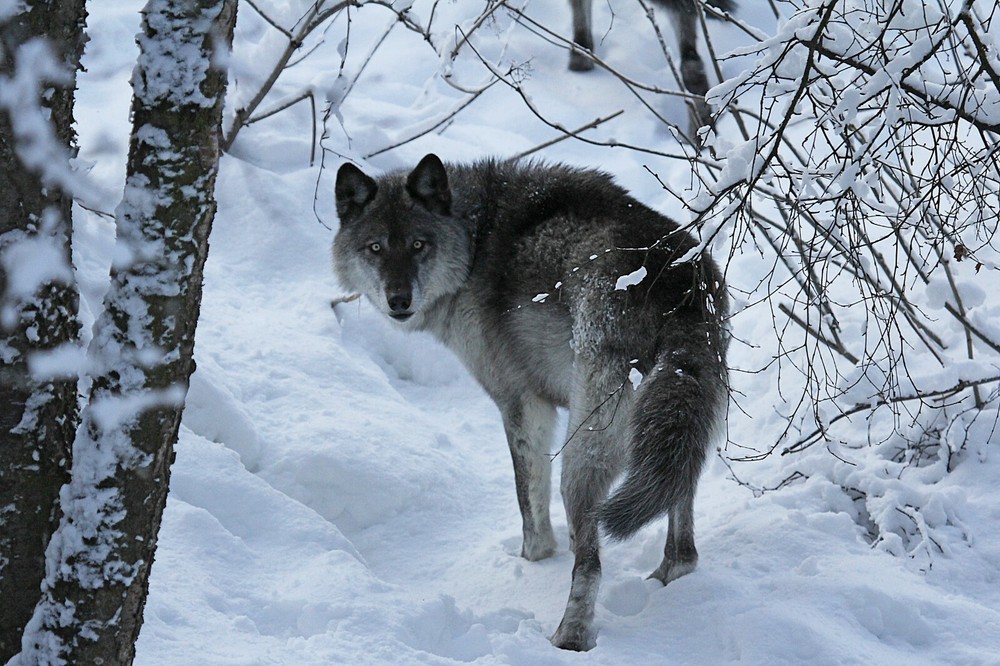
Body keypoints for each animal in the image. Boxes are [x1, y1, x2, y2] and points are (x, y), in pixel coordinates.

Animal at [332, 154, 728, 651]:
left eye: (418, 245)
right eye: (376, 248)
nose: (398, 299)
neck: (473, 238)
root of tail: (679, 284)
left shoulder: (520, 403)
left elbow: (529, 507)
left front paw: (532, 561)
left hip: (581, 458)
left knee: (591, 563)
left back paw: (569, 638)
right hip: (677, 441)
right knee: (683, 550)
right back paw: (662, 586)